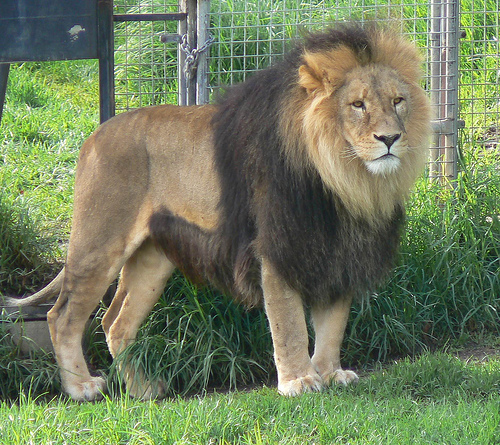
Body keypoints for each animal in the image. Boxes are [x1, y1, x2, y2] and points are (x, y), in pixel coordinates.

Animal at [5, 22, 430, 400]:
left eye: (398, 100)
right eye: (357, 105)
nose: (390, 138)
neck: (347, 182)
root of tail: (94, 135)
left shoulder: (341, 249)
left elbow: (333, 322)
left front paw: (330, 372)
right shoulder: (276, 247)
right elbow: (289, 321)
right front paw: (299, 381)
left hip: (153, 257)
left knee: (115, 322)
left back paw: (144, 390)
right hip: (99, 242)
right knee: (62, 317)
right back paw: (81, 388)